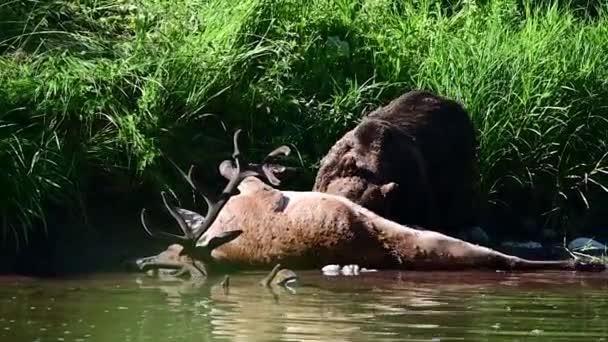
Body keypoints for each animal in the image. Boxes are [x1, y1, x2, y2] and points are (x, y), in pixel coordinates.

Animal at [132, 129, 604, 278]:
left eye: (172, 253)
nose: (142, 261)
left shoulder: (259, 196)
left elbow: (243, 175)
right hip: (431, 239)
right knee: (502, 257)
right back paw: (581, 263)